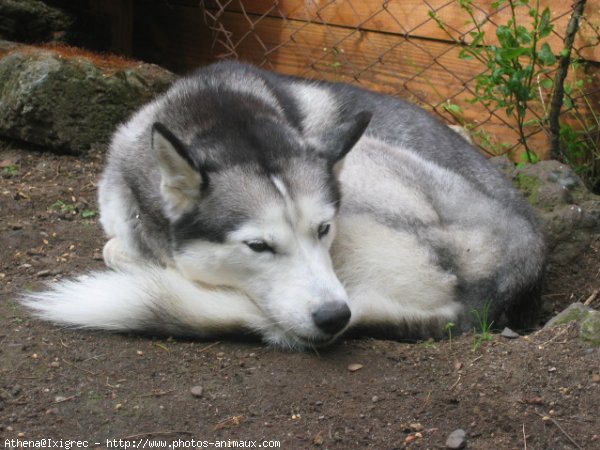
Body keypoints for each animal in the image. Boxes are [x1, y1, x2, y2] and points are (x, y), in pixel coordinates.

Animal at [25, 60, 548, 348]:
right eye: (258, 246)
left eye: (325, 229)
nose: (335, 318)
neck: (216, 108)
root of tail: (493, 294)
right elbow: (117, 243)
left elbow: (121, 251)